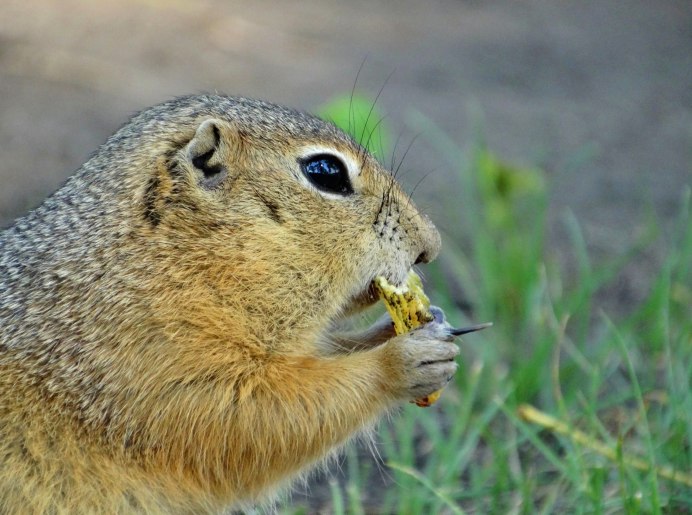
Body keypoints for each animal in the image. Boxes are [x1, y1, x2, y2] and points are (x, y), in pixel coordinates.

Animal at [1, 94, 460, 512]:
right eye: (326, 172)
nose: (430, 246)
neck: (166, 263)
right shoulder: (154, 368)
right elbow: (251, 423)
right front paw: (402, 361)